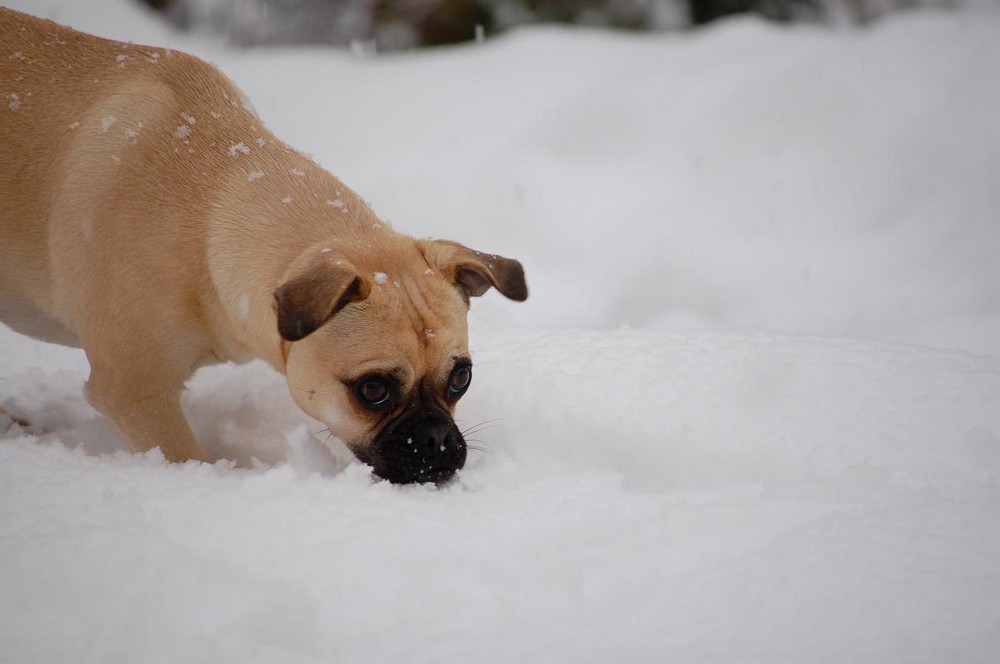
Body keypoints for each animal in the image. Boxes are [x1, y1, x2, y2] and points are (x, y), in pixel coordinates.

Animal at [0, 6, 528, 482]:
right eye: (373, 390)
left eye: (461, 378)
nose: (437, 439)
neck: (209, 203)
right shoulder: (136, 392)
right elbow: (190, 461)